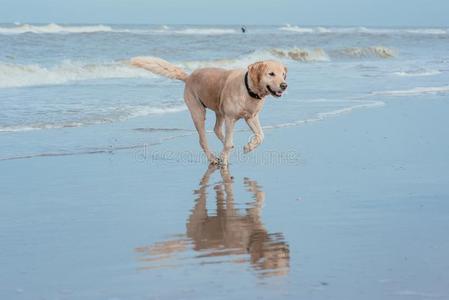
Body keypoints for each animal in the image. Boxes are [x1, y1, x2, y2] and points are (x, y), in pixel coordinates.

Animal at [130, 55, 288, 164]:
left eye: (283, 75)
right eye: (271, 74)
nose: (284, 85)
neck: (248, 89)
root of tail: (189, 77)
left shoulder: (251, 117)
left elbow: (261, 136)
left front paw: (249, 147)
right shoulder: (230, 118)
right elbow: (229, 142)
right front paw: (224, 160)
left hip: (219, 110)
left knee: (217, 129)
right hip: (198, 112)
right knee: (203, 140)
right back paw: (213, 158)